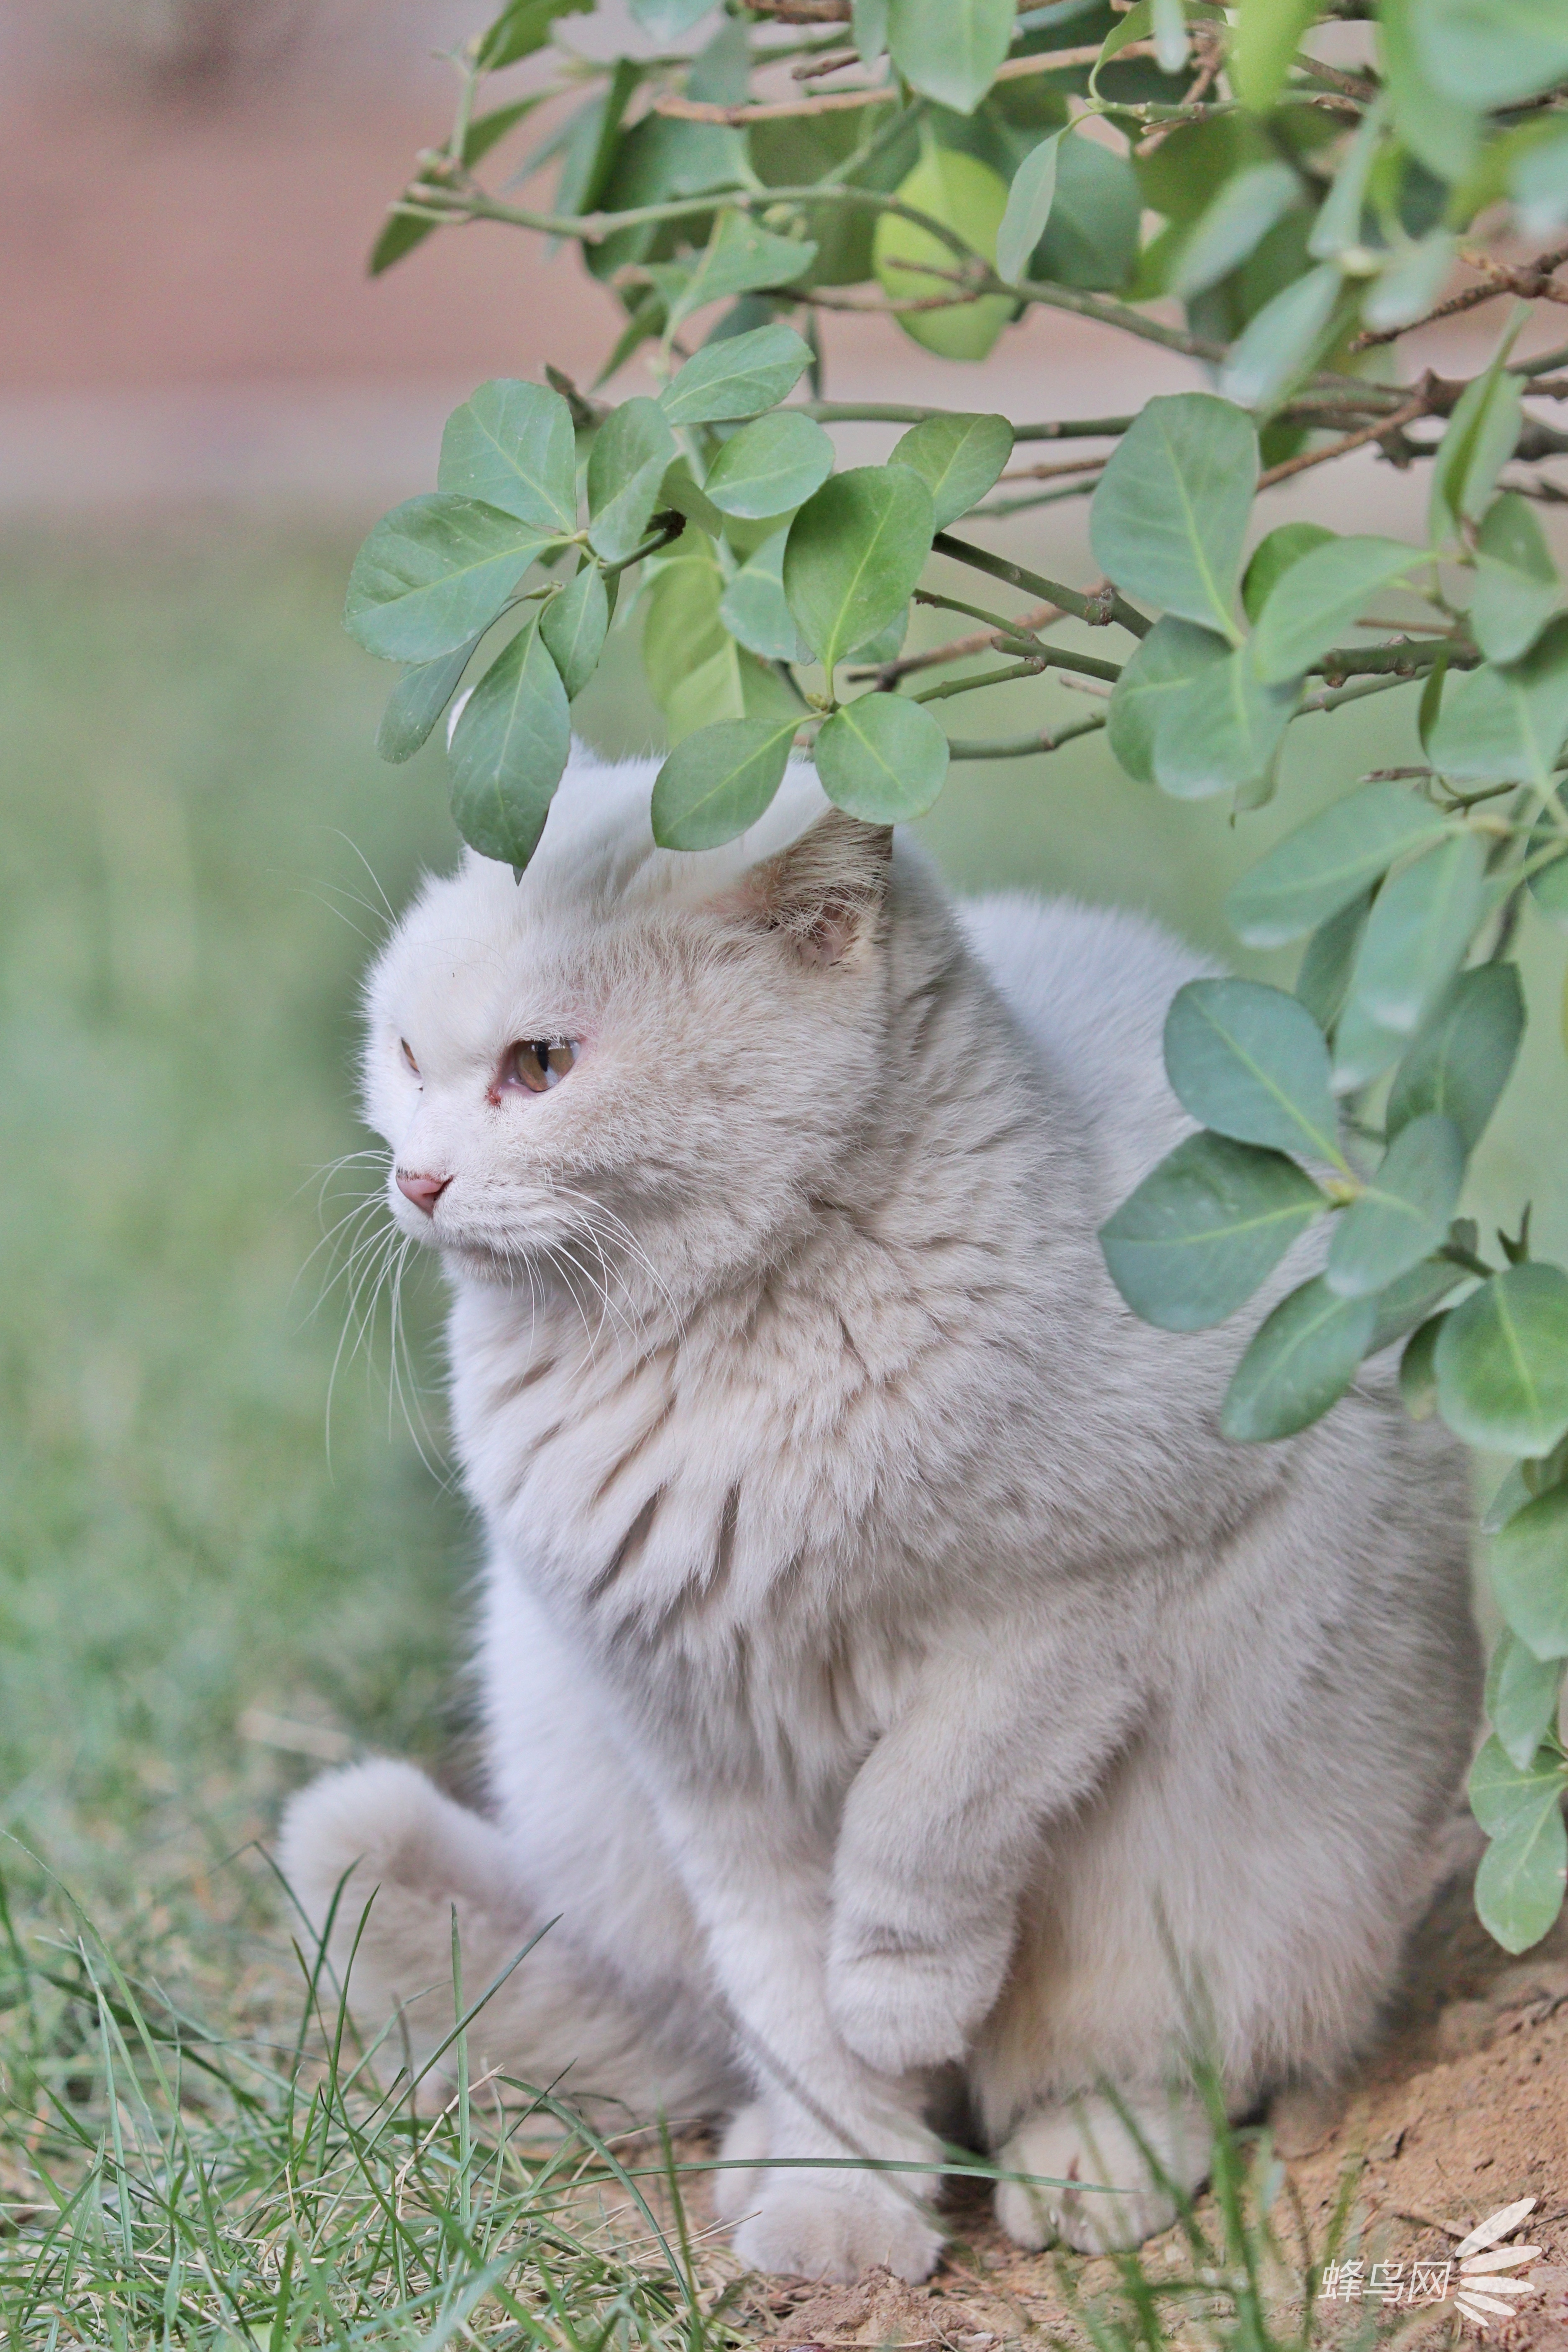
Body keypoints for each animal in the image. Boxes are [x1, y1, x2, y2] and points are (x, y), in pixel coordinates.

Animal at [285, 748, 1486, 2277]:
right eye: (401, 1055)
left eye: (539, 1066)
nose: (418, 1178)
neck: (710, 1359)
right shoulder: (698, 1735)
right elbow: (793, 2003)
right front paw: (837, 2203)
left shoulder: (1073, 1616)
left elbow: (923, 1824)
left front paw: (901, 2002)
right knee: (727, 2032)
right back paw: (765, 2151)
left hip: (1229, 1875)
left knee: (1128, 2061)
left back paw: (1086, 2169)